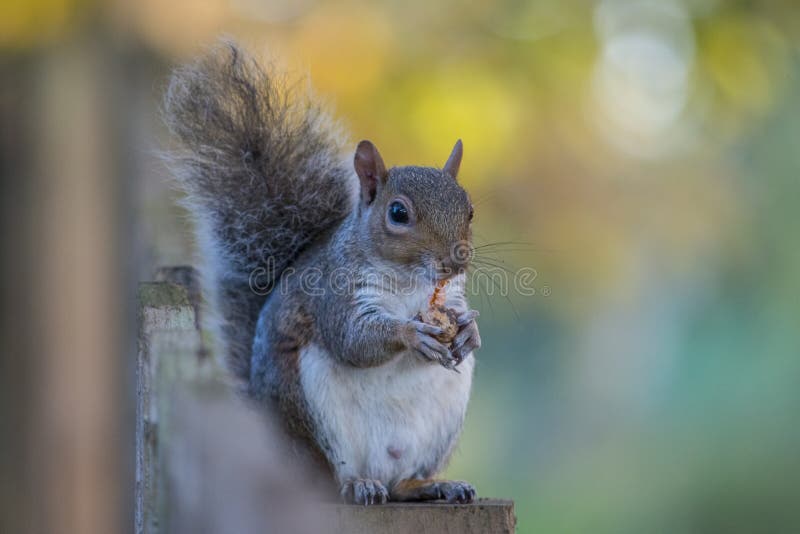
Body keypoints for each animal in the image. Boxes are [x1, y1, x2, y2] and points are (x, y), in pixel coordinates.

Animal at [163, 43, 482, 505]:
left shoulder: (450, 295)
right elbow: (353, 339)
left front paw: (469, 332)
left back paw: (430, 484)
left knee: (401, 481)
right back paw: (359, 485)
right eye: (398, 213)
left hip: (438, 425)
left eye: (469, 210)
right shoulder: (335, 292)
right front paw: (411, 333)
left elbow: (457, 316)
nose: (457, 260)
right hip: (313, 414)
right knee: (333, 479)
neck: (409, 282)